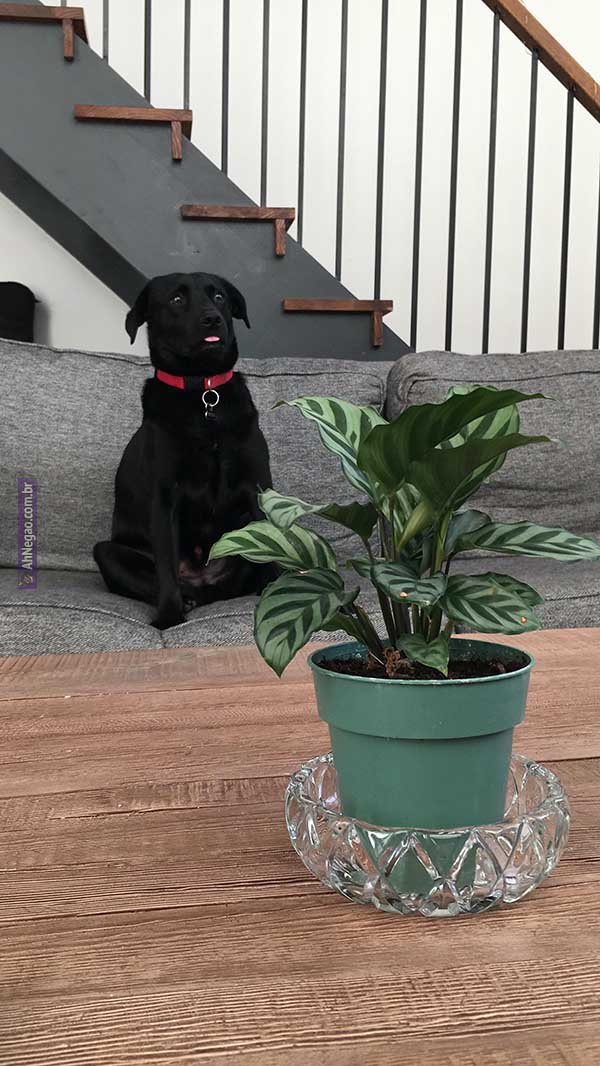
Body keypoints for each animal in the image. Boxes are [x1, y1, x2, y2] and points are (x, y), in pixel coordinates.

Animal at [94, 271, 275, 630]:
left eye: (219, 297)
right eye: (176, 300)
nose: (213, 319)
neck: (203, 395)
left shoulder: (257, 487)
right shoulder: (165, 498)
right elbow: (165, 569)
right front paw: (168, 618)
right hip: (106, 551)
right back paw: (186, 600)